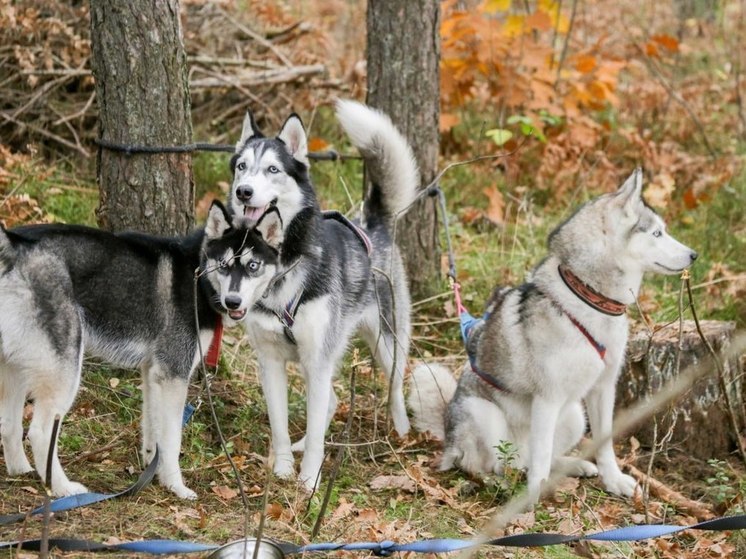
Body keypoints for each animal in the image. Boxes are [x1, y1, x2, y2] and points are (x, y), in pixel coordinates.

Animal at [0, 203, 282, 500]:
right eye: (224, 265)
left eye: (253, 266)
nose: (233, 301)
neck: (198, 277)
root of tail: (13, 245)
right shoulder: (174, 375)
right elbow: (171, 439)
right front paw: (176, 485)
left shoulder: (153, 373)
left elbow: (153, 430)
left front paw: (152, 468)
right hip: (64, 370)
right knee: (40, 432)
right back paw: (62, 487)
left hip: (16, 367)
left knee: (9, 423)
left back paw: (21, 470)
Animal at [230, 99, 416, 490]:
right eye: (241, 167)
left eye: (272, 169)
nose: (244, 192)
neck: (282, 262)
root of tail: (372, 223)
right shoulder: (271, 361)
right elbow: (280, 425)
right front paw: (284, 467)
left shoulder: (317, 358)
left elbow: (317, 434)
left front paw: (309, 482)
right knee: (330, 401)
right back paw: (300, 445)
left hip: (385, 342)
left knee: (394, 387)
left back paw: (403, 432)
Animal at [406, 170, 692, 504]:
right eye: (657, 233)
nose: (694, 254)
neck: (588, 299)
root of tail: (447, 436)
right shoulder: (547, 398)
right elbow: (540, 457)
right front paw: (532, 500)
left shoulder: (603, 389)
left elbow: (603, 444)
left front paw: (613, 480)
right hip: (484, 415)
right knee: (487, 465)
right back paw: (498, 482)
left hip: (574, 415)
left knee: (531, 460)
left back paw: (573, 465)